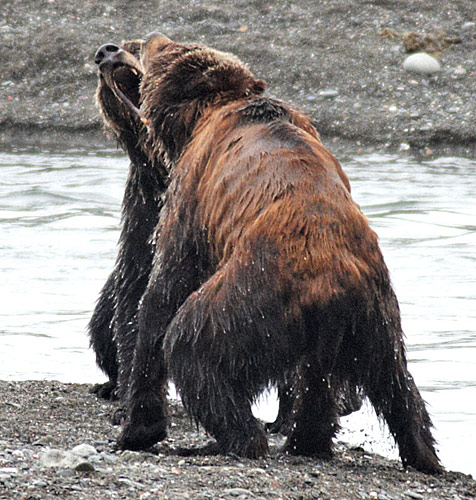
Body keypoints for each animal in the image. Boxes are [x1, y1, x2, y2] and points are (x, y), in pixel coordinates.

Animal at [102, 32, 440, 472]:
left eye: (144, 46)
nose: (106, 51)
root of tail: (332, 290)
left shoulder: (190, 191)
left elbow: (164, 290)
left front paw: (136, 428)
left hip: (254, 299)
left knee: (193, 343)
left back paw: (229, 440)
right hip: (375, 320)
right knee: (395, 387)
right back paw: (398, 451)